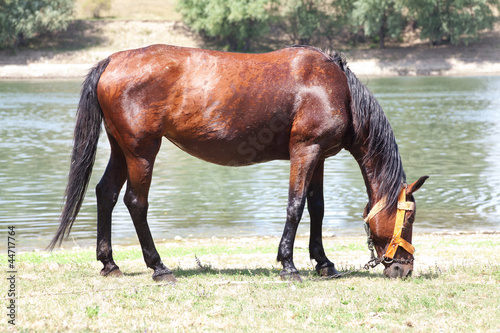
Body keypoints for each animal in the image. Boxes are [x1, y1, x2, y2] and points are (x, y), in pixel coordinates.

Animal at [48, 44, 428, 280]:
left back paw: (109, 263)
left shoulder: (318, 157)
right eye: (409, 218)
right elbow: (295, 206)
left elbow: (316, 208)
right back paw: (159, 267)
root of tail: (112, 60)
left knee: (106, 194)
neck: (336, 89)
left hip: (121, 148)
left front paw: (323, 262)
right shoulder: (305, 151)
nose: (405, 267)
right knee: (135, 202)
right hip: (142, 151)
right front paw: (288, 264)